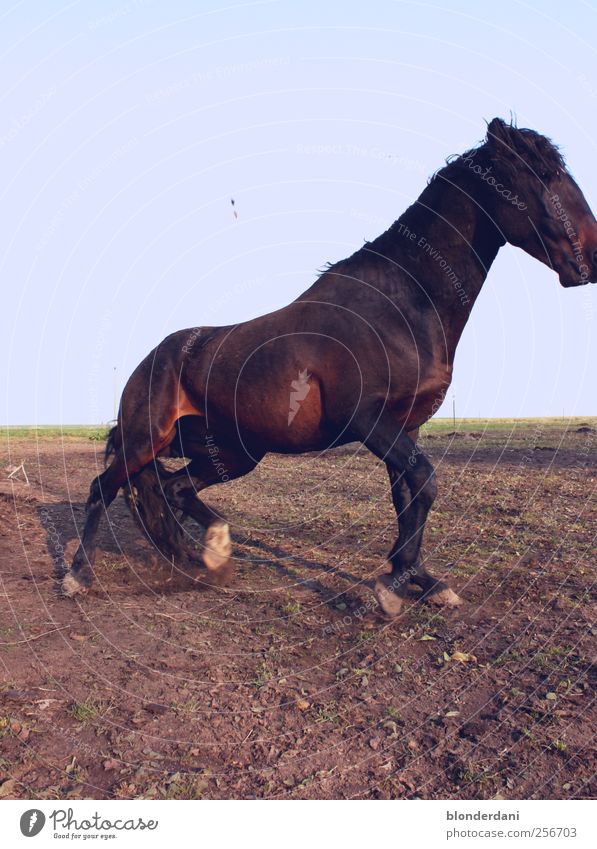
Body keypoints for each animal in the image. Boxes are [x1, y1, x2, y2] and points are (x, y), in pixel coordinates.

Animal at [61, 116, 596, 612]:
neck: (401, 306)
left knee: (173, 490)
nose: (590, 257)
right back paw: (79, 575)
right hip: (147, 439)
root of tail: (151, 360)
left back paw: (209, 555)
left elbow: (407, 498)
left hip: (231, 450)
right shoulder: (368, 421)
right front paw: (392, 586)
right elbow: (424, 483)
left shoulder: (405, 426)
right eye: (544, 174)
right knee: (103, 488)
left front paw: (421, 580)